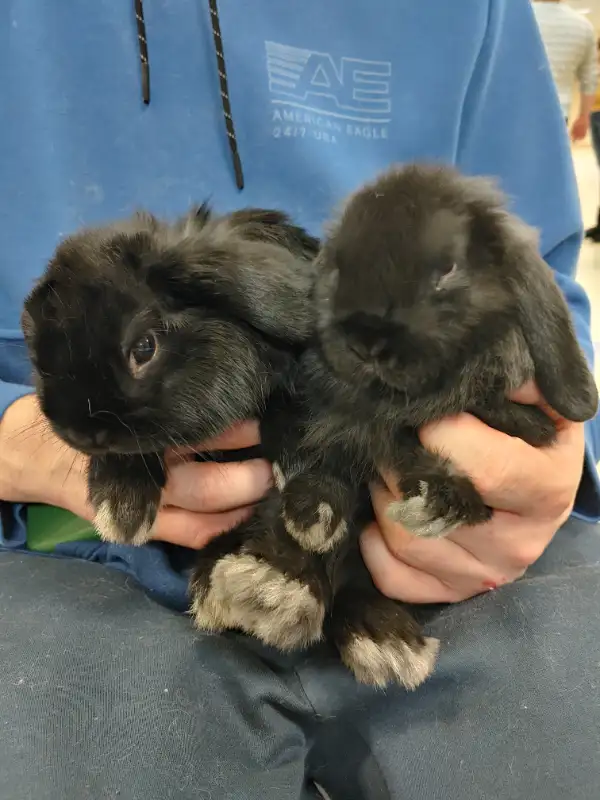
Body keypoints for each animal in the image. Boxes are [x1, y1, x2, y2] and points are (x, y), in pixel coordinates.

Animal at [189, 162, 598, 690]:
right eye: (336, 266)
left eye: (447, 270)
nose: (364, 341)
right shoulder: (330, 428)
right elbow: (321, 488)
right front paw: (297, 546)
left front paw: (437, 501)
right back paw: (262, 589)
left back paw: (382, 640)